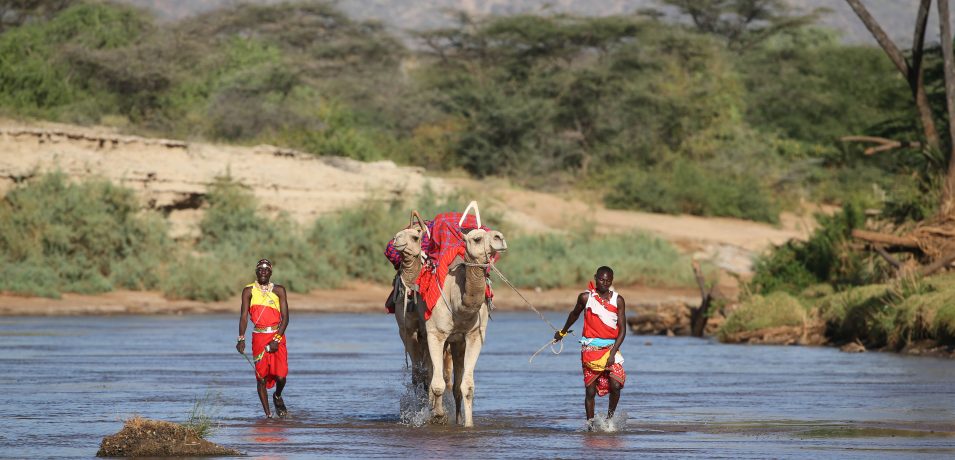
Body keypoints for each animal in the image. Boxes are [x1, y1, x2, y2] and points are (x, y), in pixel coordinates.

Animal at [428, 225, 512, 426]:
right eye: (476, 239)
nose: (500, 237)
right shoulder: (435, 333)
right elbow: (437, 384)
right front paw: (438, 415)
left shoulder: (474, 335)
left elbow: (466, 386)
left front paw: (468, 424)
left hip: (456, 343)